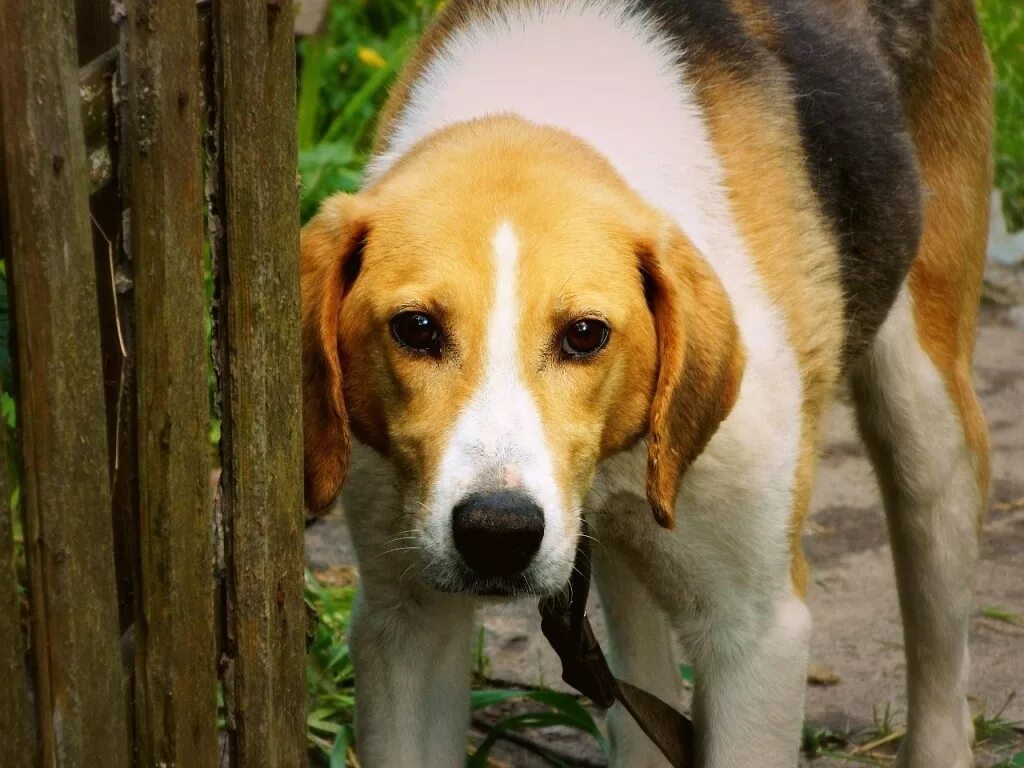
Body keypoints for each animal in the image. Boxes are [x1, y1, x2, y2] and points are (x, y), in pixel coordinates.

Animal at [299, 1, 995, 765]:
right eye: (416, 328)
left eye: (584, 334)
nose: (498, 533)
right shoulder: (406, 622)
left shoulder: (757, 637)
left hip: (926, 424)